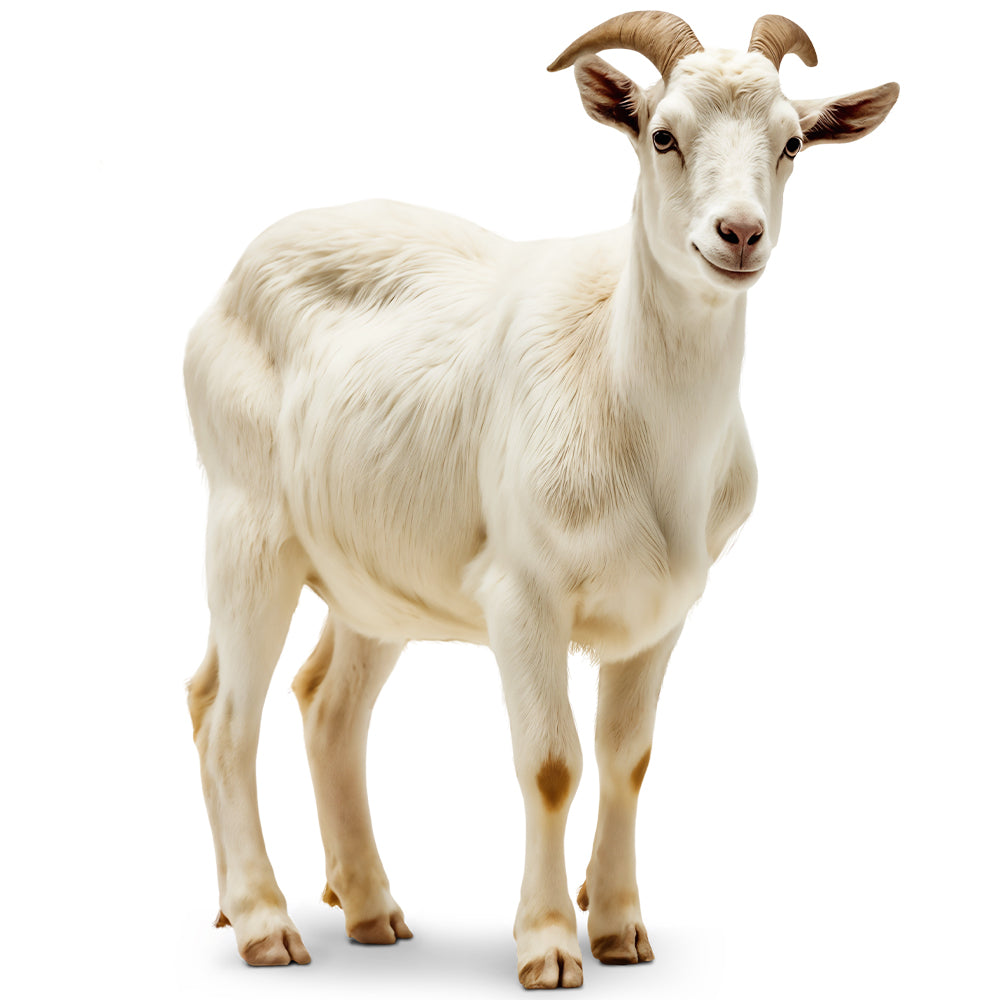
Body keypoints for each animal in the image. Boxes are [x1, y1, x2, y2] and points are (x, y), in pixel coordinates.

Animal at [185, 11, 897, 990]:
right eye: (662, 134)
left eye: (792, 143)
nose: (740, 234)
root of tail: (224, 291)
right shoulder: (522, 595)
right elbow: (553, 763)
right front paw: (550, 946)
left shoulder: (664, 611)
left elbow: (628, 758)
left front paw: (622, 930)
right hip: (248, 528)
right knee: (226, 715)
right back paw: (263, 923)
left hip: (377, 576)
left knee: (325, 706)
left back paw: (367, 911)